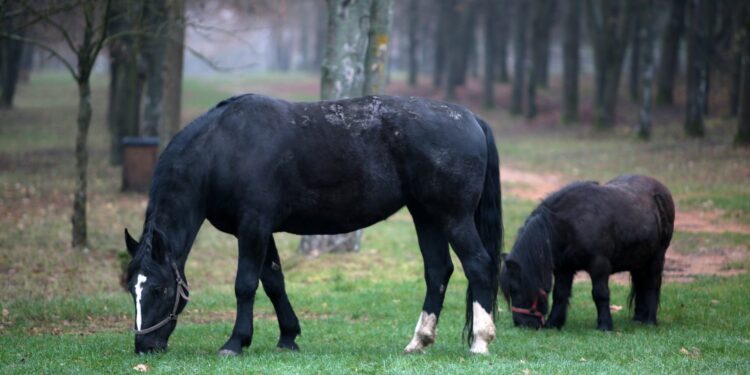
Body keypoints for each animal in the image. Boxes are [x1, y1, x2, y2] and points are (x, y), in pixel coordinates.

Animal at [123, 93, 502, 356]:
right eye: (132, 289)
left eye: (159, 289)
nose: (145, 346)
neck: (223, 149)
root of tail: (470, 117)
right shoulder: (262, 230)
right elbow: (274, 282)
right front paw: (288, 337)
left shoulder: (253, 226)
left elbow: (245, 284)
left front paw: (235, 342)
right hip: (426, 216)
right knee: (438, 272)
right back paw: (419, 342)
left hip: (453, 217)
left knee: (478, 266)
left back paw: (480, 342)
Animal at [502, 176, 672, 332]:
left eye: (515, 289)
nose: (521, 323)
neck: (569, 224)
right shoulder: (564, 269)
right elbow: (560, 294)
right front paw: (554, 323)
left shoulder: (599, 265)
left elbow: (600, 294)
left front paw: (605, 325)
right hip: (638, 261)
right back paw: (639, 318)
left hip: (656, 258)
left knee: (652, 285)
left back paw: (649, 320)